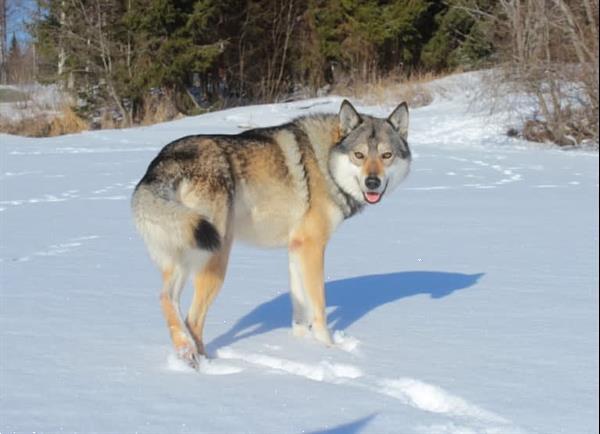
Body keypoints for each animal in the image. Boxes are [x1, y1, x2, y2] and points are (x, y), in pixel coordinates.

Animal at [132, 100, 410, 368]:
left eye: (386, 155)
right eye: (359, 155)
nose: (372, 182)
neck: (325, 163)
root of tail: (166, 159)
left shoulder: (296, 248)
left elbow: (299, 307)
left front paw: (301, 346)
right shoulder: (313, 248)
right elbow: (318, 306)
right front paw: (329, 349)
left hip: (184, 255)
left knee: (166, 299)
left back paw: (185, 352)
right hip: (215, 257)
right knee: (193, 320)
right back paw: (206, 364)